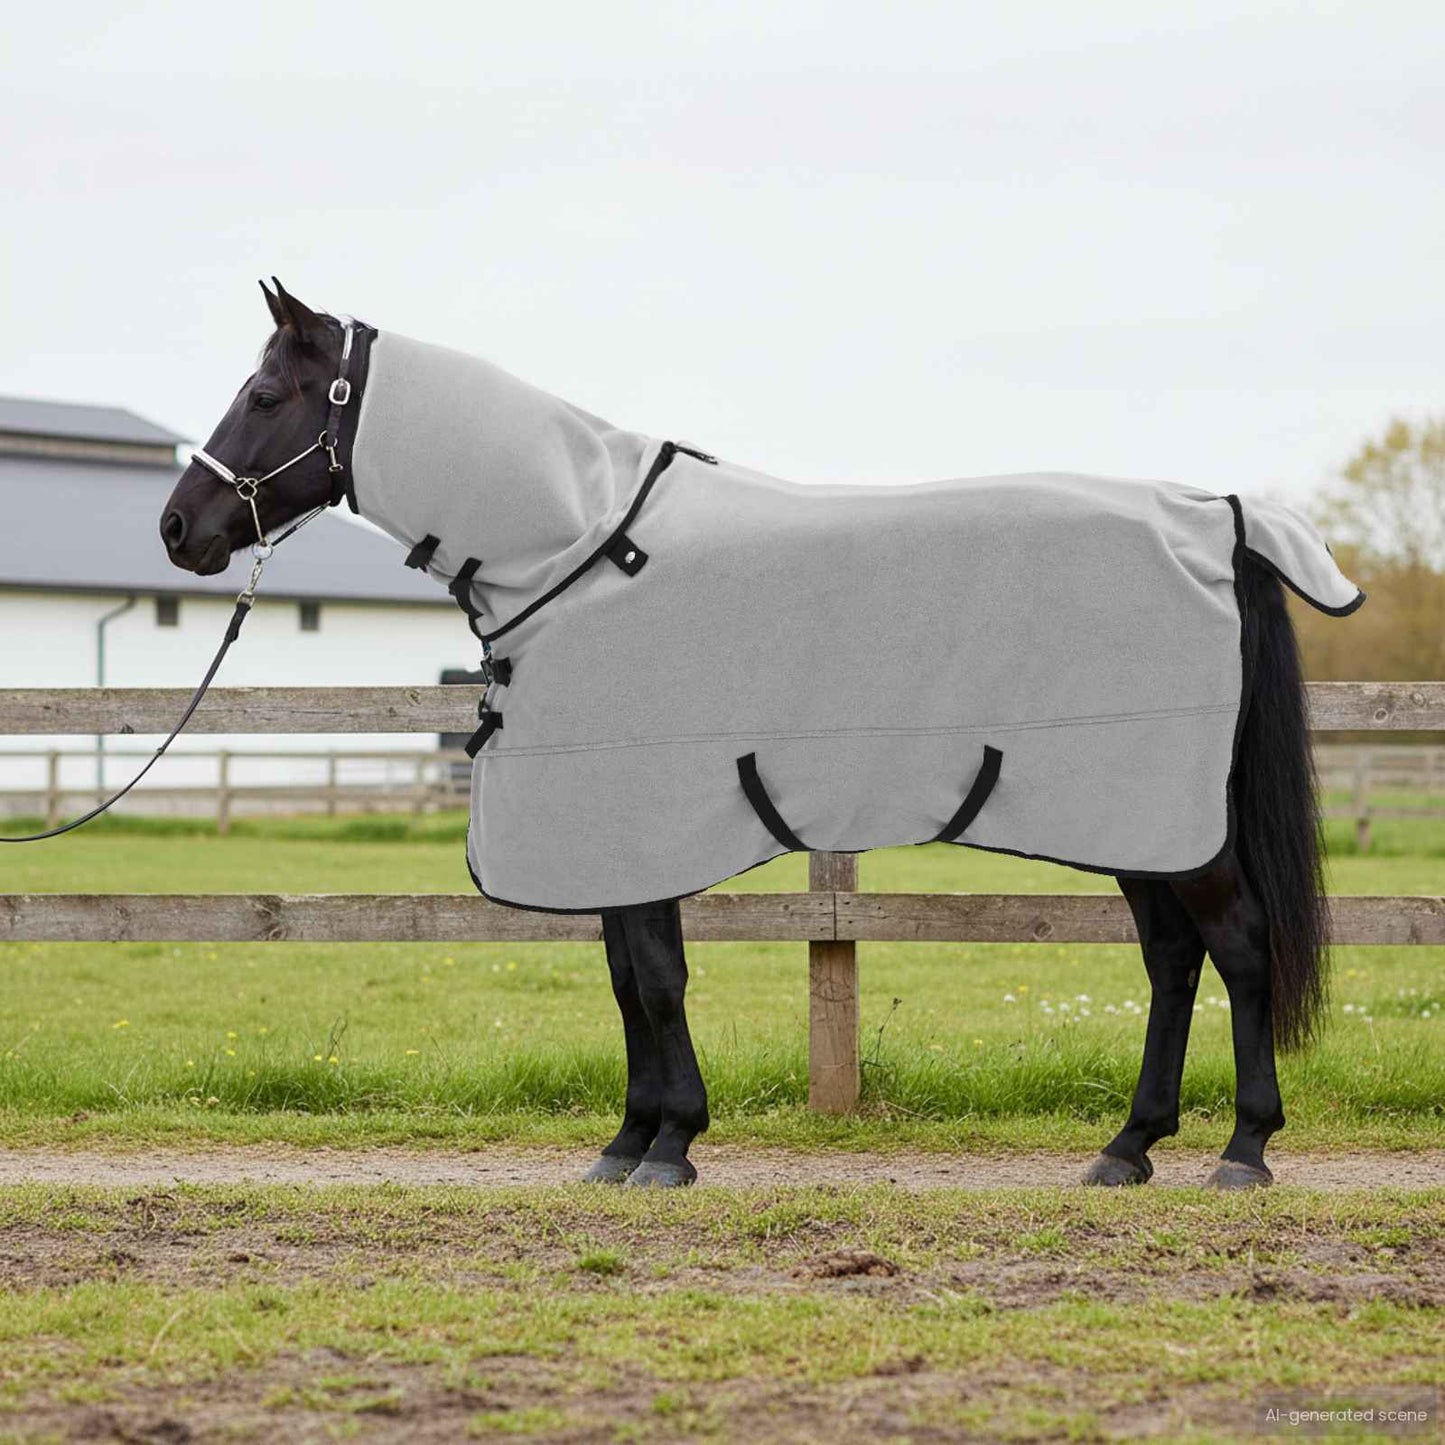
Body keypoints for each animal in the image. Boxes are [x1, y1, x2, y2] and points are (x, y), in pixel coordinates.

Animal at [160, 279, 1353, 1190]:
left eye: (264, 393)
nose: (179, 528)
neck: (582, 547)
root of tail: (1219, 518)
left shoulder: (642, 823)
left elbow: (655, 980)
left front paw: (669, 1145)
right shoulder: (610, 839)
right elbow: (628, 981)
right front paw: (627, 1141)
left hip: (1168, 824)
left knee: (1238, 948)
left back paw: (1242, 1150)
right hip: (1137, 825)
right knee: (1171, 960)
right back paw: (1127, 1146)